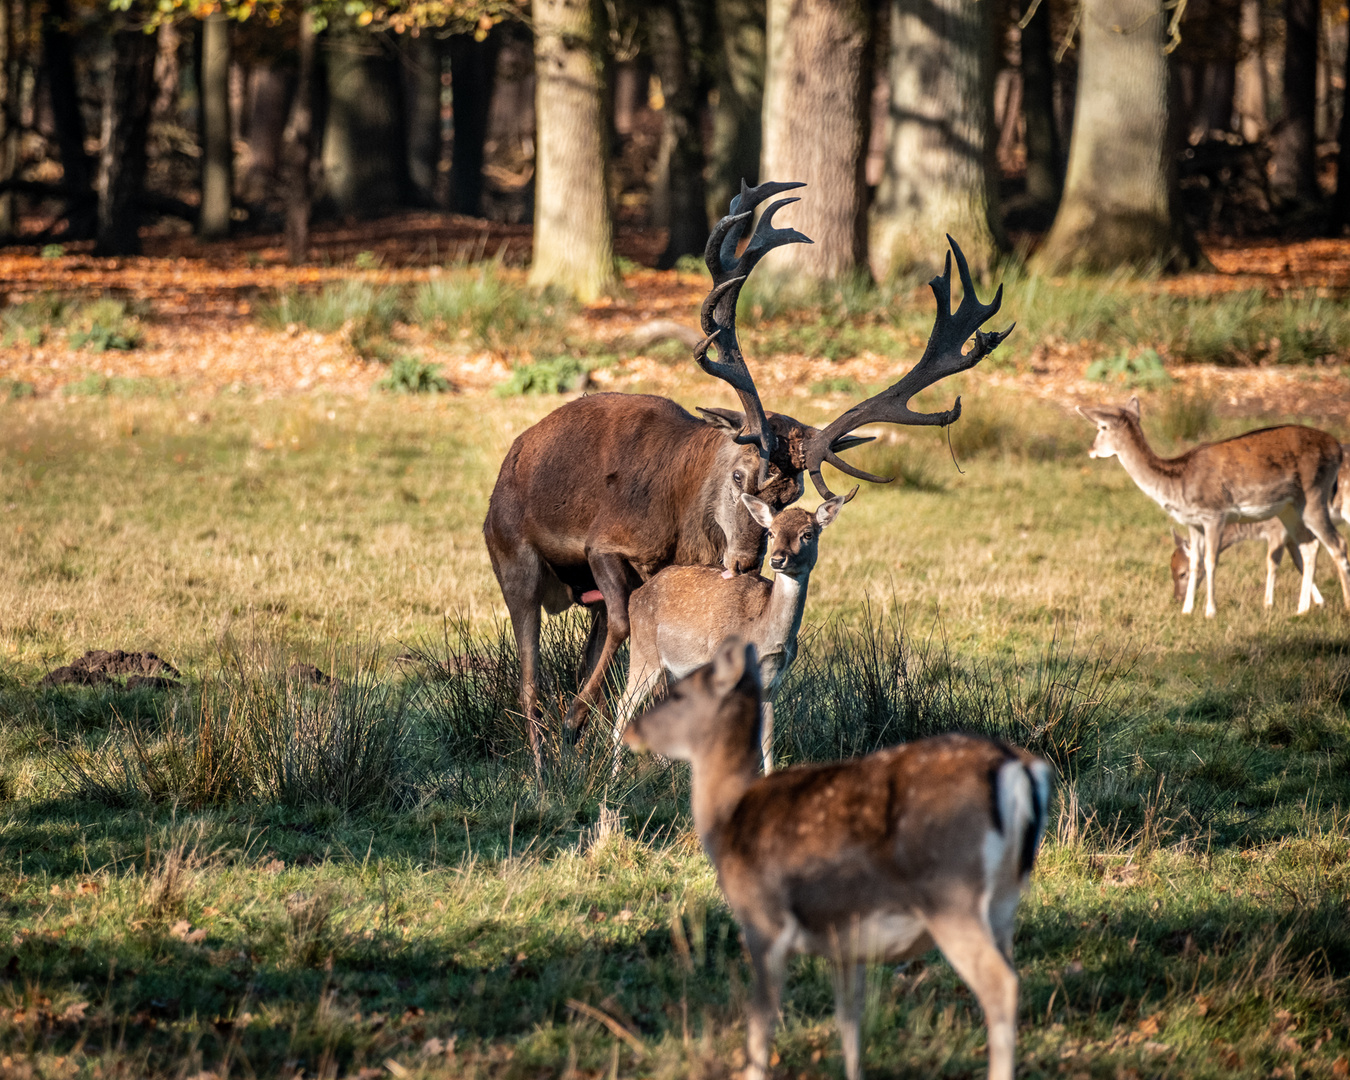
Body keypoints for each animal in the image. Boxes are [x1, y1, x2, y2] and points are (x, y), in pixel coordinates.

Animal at [615, 486, 853, 772]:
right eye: (771, 532)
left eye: (807, 534)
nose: (777, 559)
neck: (763, 633)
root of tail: (635, 595)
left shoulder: (772, 682)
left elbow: (767, 738)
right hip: (643, 655)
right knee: (623, 707)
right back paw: (613, 774)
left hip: (670, 670)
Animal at [623, 637, 1053, 1080]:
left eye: (678, 693)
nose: (630, 730)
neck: (728, 820)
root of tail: (1021, 770)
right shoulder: (847, 941)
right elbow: (849, 1022)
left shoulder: (764, 921)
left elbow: (761, 1027)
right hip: (1003, 902)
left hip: (951, 894)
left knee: (1001, 985)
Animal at [1074, 396, 1350, 615]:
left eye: (1102, 426)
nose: (1090, 450)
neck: (1178, 484)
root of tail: (1336, 448)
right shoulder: (1193, 522)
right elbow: (1197, 561)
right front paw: (1187, 612)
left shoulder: (1215, 514)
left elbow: (1210, 561)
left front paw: (1210, 611)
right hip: (1290, 509)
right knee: (1309, 546)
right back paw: (1302, 610)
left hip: (1315, 493)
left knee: (1337, 543)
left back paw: (1344, 607)